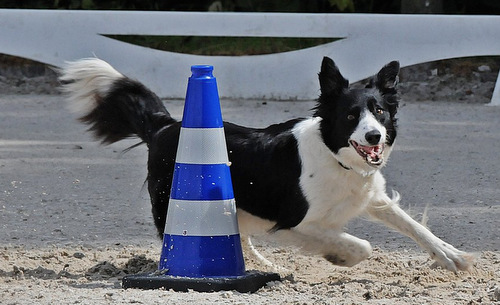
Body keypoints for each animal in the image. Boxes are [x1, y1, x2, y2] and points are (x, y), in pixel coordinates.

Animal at [59, 56, 472, 270]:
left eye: (380, 111)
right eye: (351, 115)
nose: (374, 138)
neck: (333, 157)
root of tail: (166, 125)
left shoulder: (373, 197)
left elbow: (415, 227)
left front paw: (452, 256)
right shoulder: (294, 223)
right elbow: (361, 246)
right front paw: (339, 256)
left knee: (237, 234)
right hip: (177, 203)